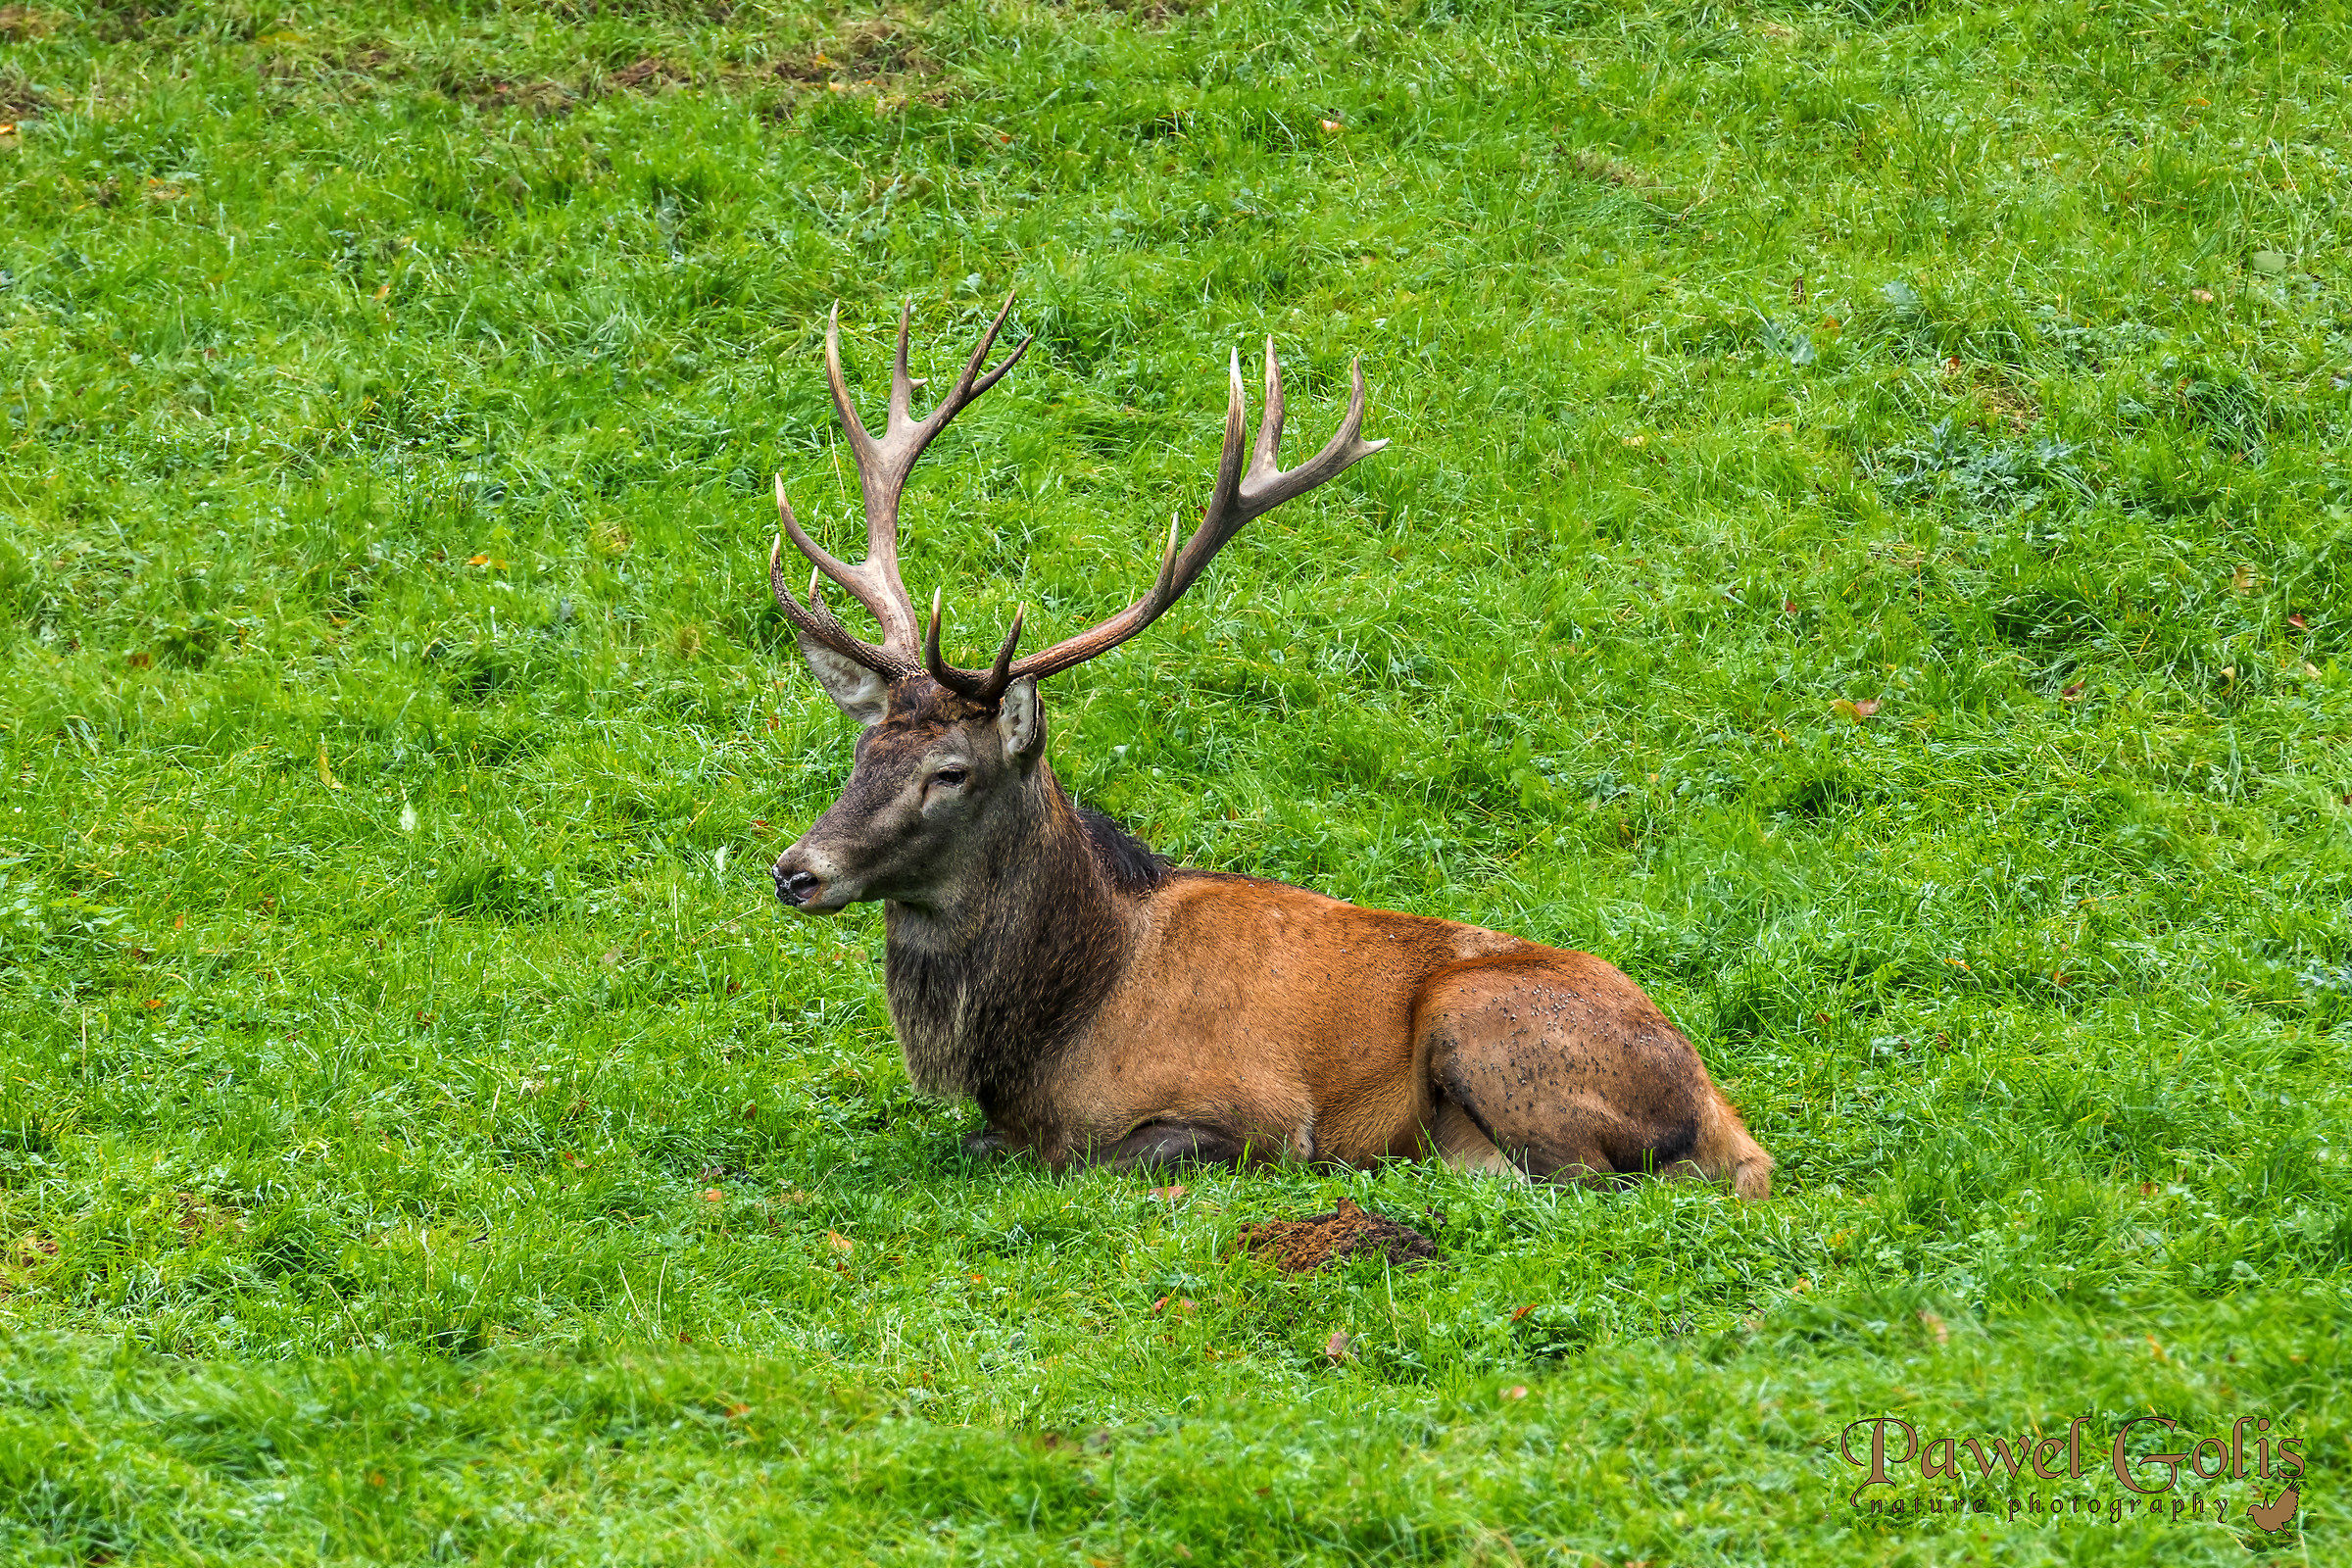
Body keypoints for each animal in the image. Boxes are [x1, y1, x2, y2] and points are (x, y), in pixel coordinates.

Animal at [761, 299, 1772, 1199]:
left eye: (951, 772)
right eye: (862, 755)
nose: (796, 870)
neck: (1055, 1028)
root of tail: (1725, 1115)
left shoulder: (1259, 1114)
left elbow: (1101, 1158)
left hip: (1480, 1016)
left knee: (1585, 1176)